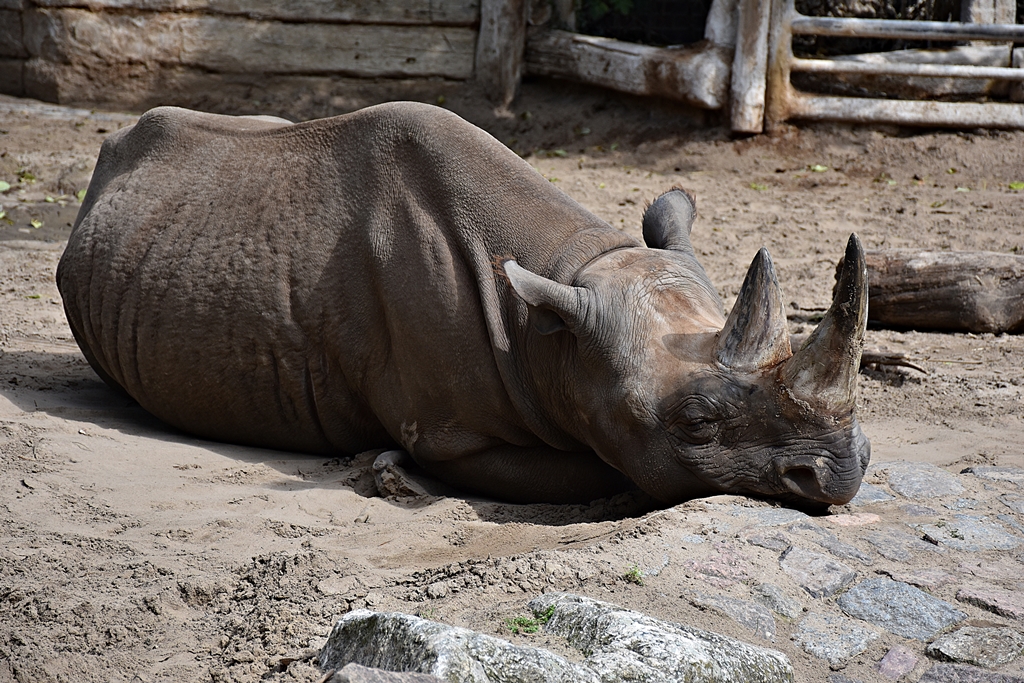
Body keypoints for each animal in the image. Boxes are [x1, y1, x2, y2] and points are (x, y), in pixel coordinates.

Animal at [57, 102, 870, 507]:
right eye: (697, 424)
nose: (844, 474)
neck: (552, 331)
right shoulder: (451, 433)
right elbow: (618, 473)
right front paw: (391, 471)